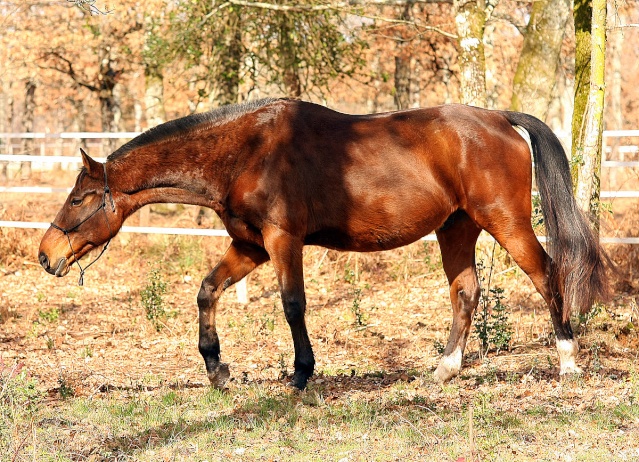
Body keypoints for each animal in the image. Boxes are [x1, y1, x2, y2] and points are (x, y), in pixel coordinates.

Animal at [38, 98, 608, 390]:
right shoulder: (251, 245)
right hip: (457, 228)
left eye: (81, 197)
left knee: (548, 275)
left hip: (505, 222)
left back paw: (567, 361)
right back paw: (444, 369)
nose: (47, 255)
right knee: (466, 292)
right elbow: (207, 291)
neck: (247, 152)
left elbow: (293, 305)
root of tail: (499, 119)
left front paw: (302, 374)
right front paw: (217, 368)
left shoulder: (281, 240)